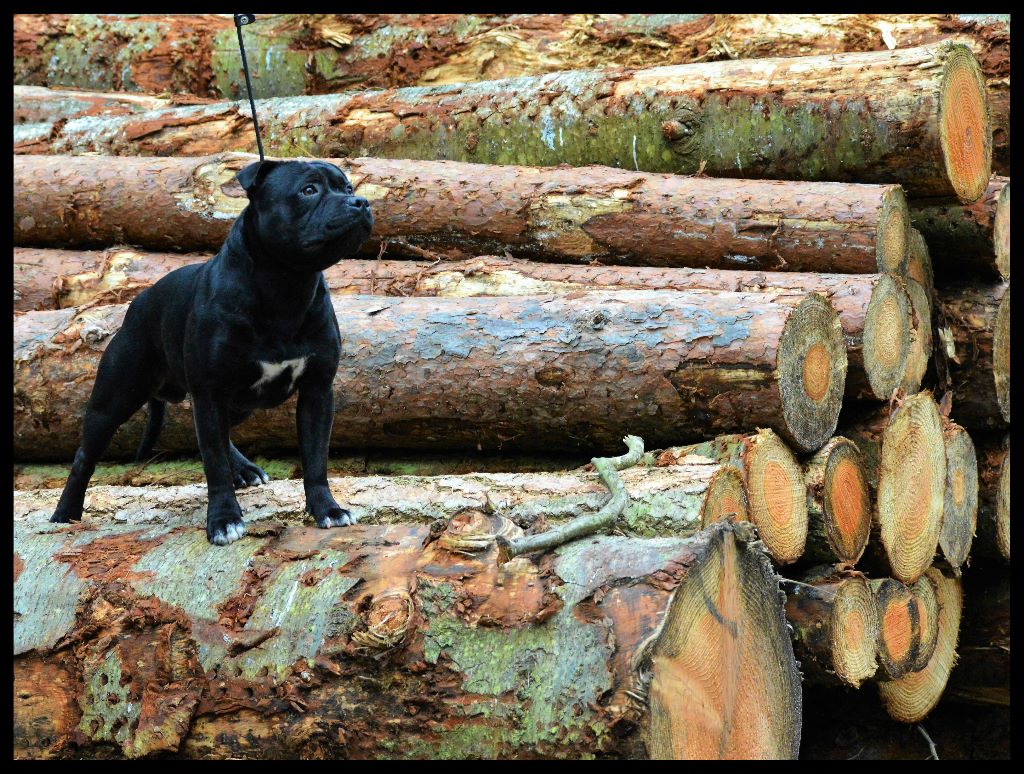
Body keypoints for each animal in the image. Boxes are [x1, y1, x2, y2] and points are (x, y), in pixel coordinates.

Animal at [49, 158, 374, 544]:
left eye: (348, 188)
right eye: (309, 190)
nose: (361, 202)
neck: (285, 286)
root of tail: (139, 301)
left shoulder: (317, 391)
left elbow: (315, 458)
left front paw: (327, 509)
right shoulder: (211, 392)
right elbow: (214, 465)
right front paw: (223, 520)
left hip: (235, 403)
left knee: (219, 433)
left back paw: (245, 469)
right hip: (115, 397)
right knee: (85, 455)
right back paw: (65, 514)